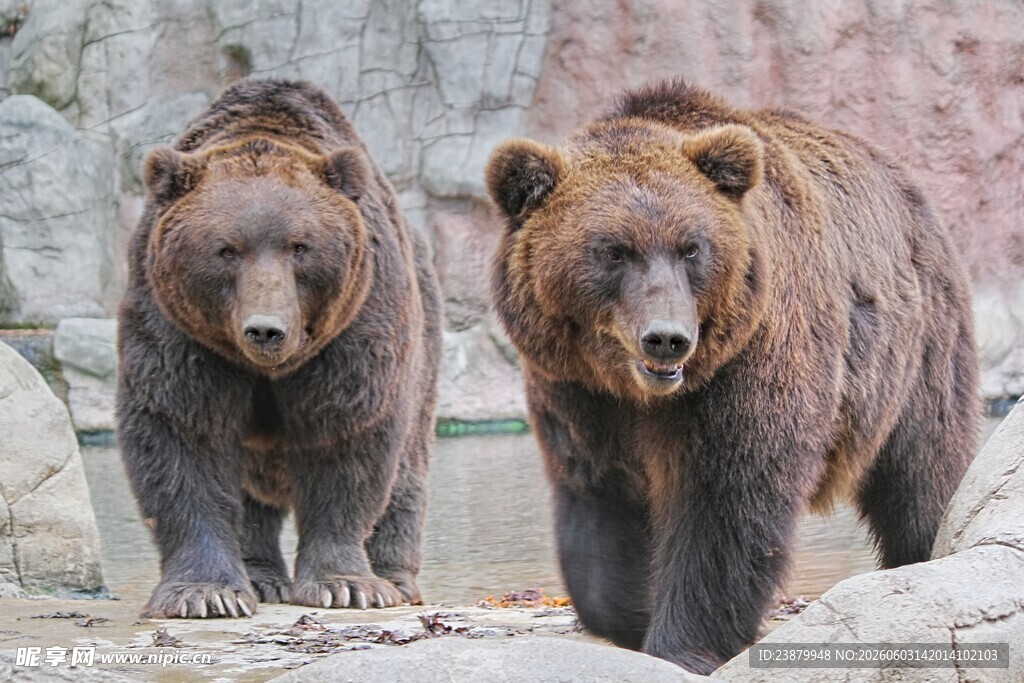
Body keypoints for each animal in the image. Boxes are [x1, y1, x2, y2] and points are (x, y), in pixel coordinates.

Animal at [117, 79, 442, 619]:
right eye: (226, 249)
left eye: (300, 246)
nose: (266, 330)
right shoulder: (178, 329)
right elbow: (182, 431)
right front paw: (205, 594)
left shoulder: (354, 326)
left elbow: (346, 436)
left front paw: (346, 585)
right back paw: (261, 576)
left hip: (424, 341)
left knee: (406, 467)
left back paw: (395, 577)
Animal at [485, 79, 979, 673]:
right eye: (613, 251)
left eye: (691, 247)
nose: (667, 337)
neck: (638, 391)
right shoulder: (578, 392)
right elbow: (600, 494)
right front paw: (628, 614)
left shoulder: (748, 362)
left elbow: (726, 499)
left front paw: (683, 643)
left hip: (914, 348)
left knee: (923, 467)